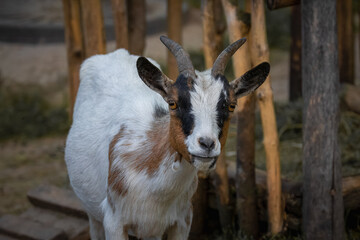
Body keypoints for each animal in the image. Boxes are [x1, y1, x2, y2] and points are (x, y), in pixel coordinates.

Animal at [65, 36, 270, 240]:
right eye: (172, 103)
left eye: (231, 105)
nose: (207, 144)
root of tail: (115, 54)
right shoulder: (113, 221)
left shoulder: (182, 220)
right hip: (94, 214)